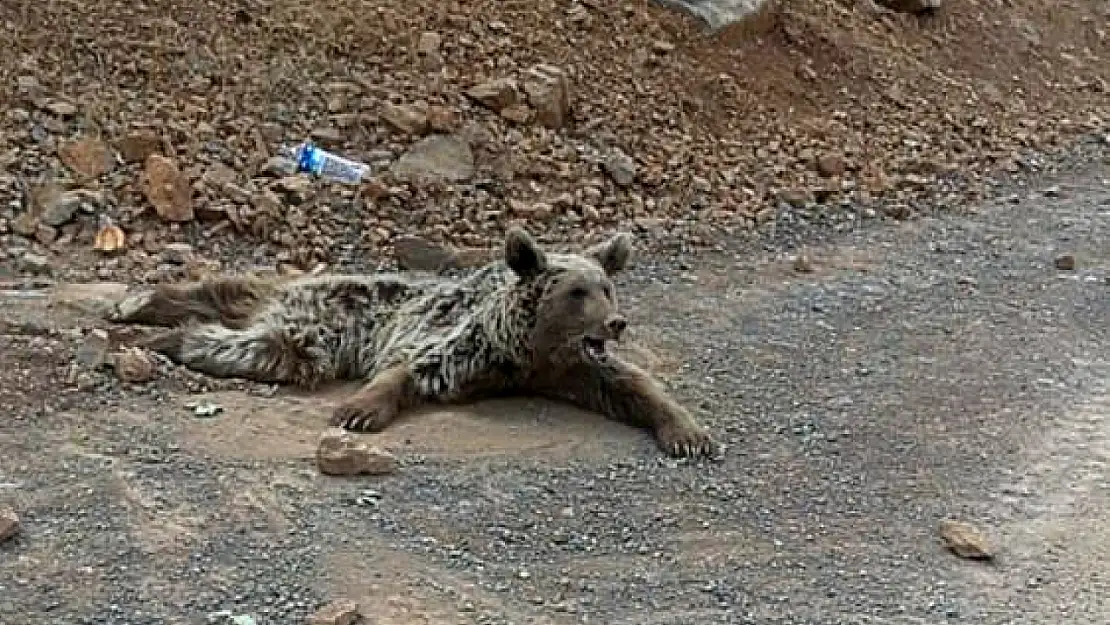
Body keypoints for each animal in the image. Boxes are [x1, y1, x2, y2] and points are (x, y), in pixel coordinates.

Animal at [112, 229, 719, 459]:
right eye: (576, 292)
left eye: (606, 285)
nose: (617, 322)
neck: (530, 351)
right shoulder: (472, 345)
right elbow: (417, 367)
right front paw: (359, 410)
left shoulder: (571, 369)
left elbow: (631, 386)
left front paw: (688, 434)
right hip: (320, 320)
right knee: (255, 338)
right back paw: (153, 323)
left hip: (297, 306)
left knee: (238, 297)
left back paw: (151, 312)